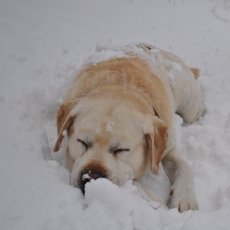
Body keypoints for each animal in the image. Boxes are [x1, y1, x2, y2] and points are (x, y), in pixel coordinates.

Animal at [53, 43, 205, 212]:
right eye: (82, 142)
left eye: (121, 149)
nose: (91, 177)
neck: (118, 87)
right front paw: (157, 203)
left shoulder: (168, 146)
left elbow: (183, 166)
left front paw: (184, 198)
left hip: (189, 104)